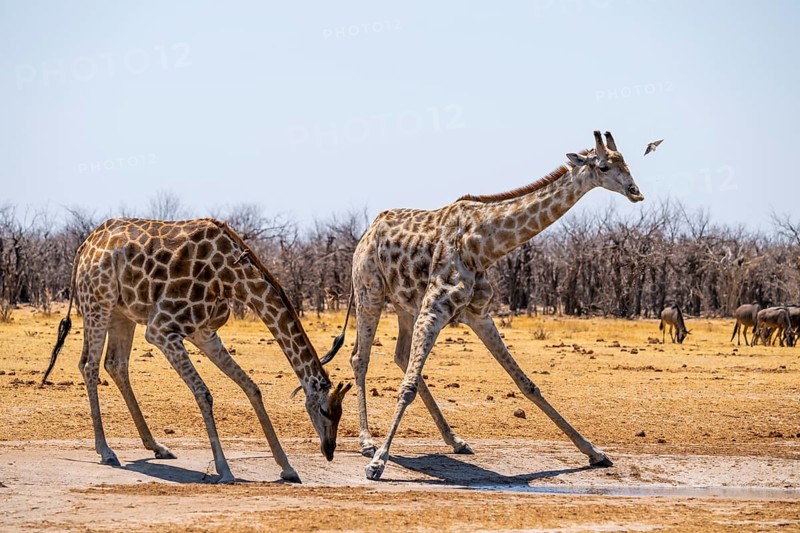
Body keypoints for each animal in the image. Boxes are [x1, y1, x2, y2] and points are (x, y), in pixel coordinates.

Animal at [42, 218, 351, 483]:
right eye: (324, 410)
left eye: (340, 413)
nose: (329, 450)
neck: (232, 277)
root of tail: (84, 246)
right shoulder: (161, 330)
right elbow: (204, 393)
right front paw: (225, 470)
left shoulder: (205, 334)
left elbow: (251, 387)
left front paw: (287, 467)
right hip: (98, 303)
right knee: (89, 365)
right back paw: (106, 451)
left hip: (121, 312)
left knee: (115, 364)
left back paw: (157, 446)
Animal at [324, 131, 644, 480]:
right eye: (603, 166)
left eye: (626, 162)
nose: (635, 192)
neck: (483, 246)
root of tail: (365, 234)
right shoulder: (435, 310)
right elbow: (406, 387)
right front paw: (378, 462)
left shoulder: (479, 314)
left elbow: (527, 384)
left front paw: (594, 452)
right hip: (369, 292)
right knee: (360, 358)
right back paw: (367, 442)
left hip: (405, 305)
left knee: (401, 355)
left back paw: (455, 440)